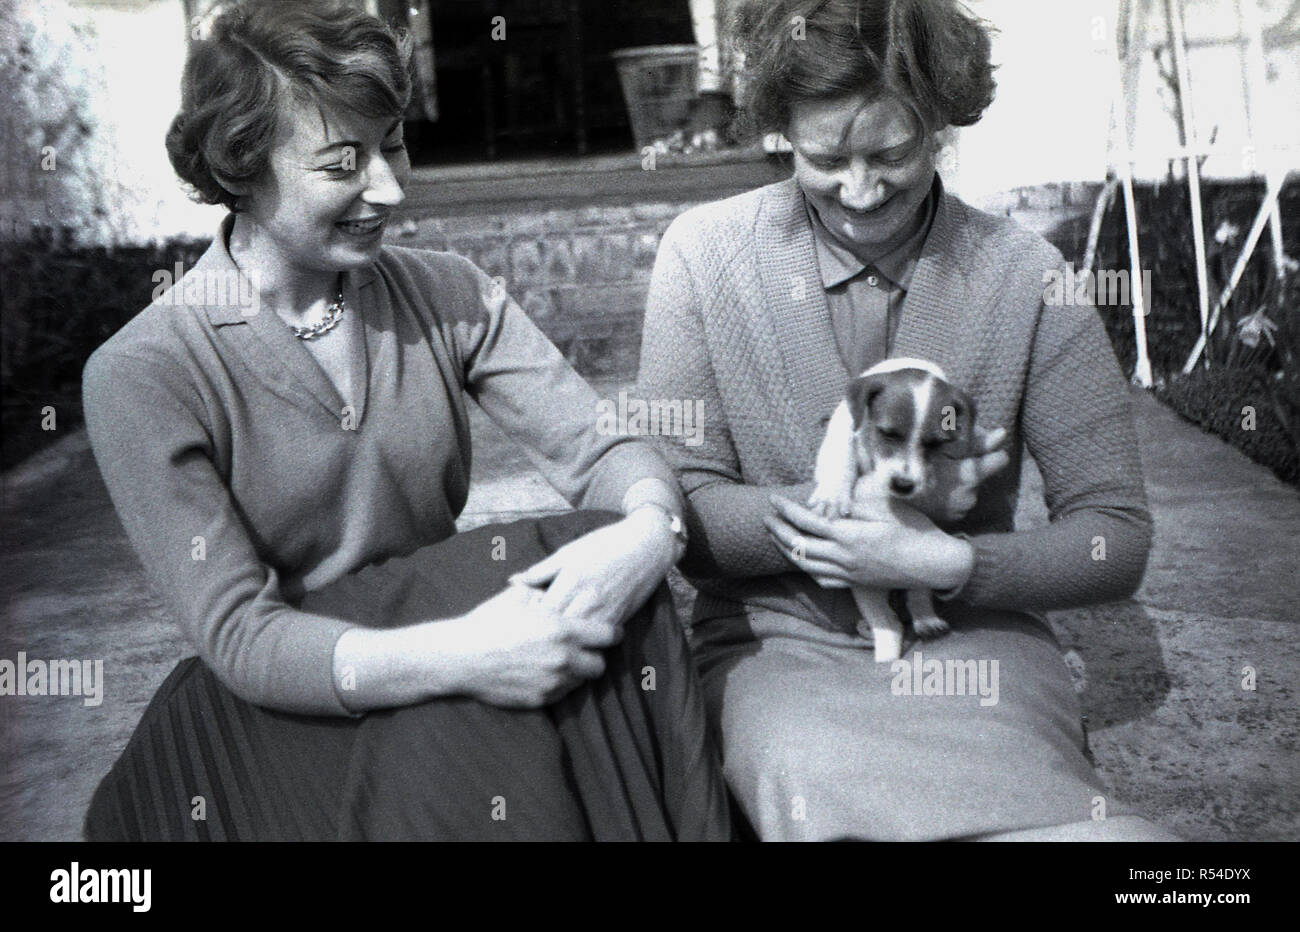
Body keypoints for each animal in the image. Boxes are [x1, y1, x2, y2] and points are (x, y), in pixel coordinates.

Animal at [806, 356, 977, 662]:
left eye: (934, 444)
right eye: (888, 433)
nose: (903, 485)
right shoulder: (844, 426)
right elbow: (841, 456)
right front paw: (832, 496)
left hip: (920, 569)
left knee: (917, 594)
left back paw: (926, 620)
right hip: (864, 588)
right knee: (888, 624)